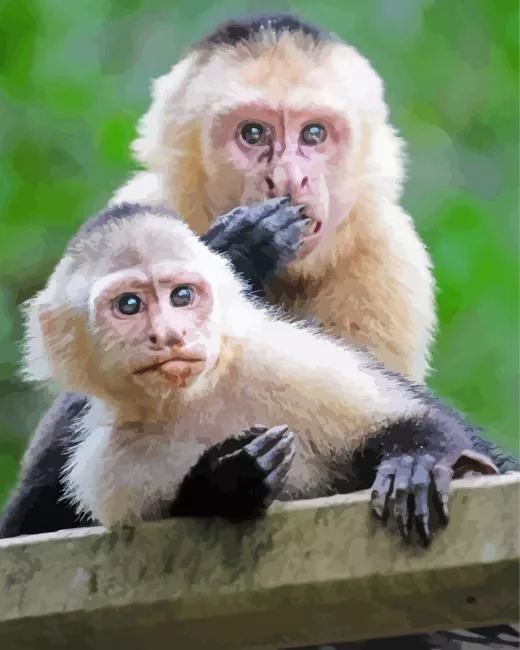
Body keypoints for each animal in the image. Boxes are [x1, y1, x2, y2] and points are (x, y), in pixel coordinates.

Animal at [12, 202, 503, 545]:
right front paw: (230, 478)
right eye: (129, 305)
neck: (195, 400)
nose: (168, 334)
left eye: (182, 296)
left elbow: (408, 423)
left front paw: (415, 464)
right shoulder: (109, 467)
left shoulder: (283, 359)